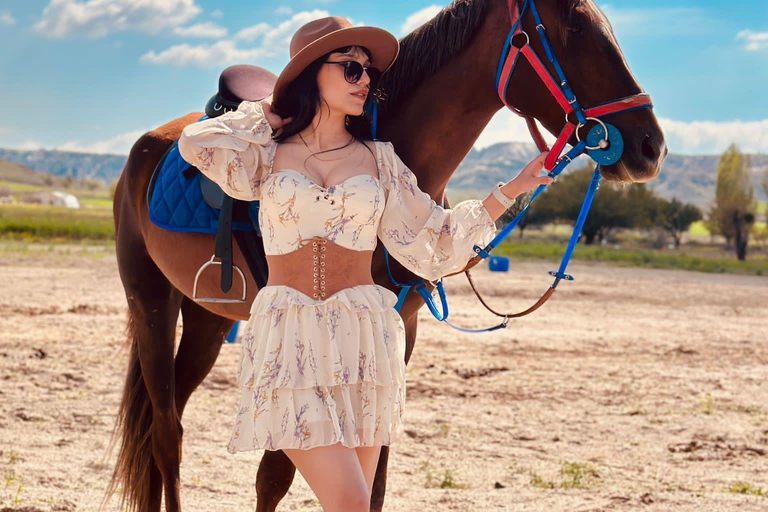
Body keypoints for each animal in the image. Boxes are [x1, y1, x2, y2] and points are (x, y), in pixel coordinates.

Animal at [102, 0, 664, 510]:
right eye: (574, 26)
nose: (650, 146)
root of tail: (147, 146)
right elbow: (275, 476)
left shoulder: (400, 336)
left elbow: (375, 480)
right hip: (151, 303)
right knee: (165, 435)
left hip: (208, 320)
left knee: (167, 423)